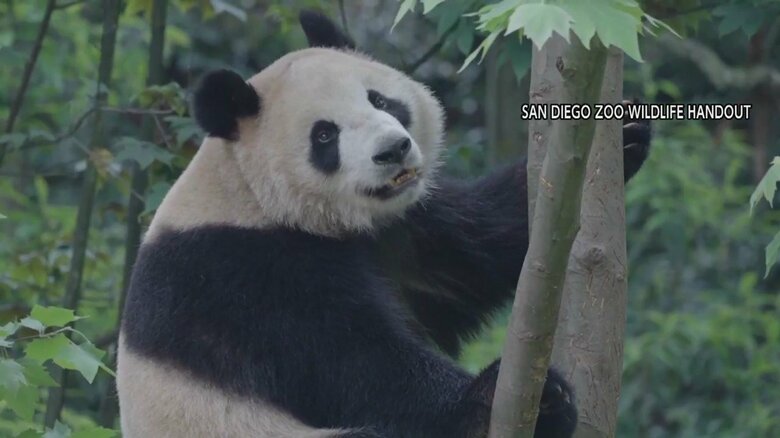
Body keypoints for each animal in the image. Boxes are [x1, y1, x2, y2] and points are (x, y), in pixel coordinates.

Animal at [117, 10, 652, 438]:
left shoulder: (403, 228)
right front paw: (502, 400)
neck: (251, 195)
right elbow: (351, 362)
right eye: (324, 135)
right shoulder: (239, 272)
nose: (393, 150)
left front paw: (622, 136)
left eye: (380, 101)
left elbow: (474, 255)